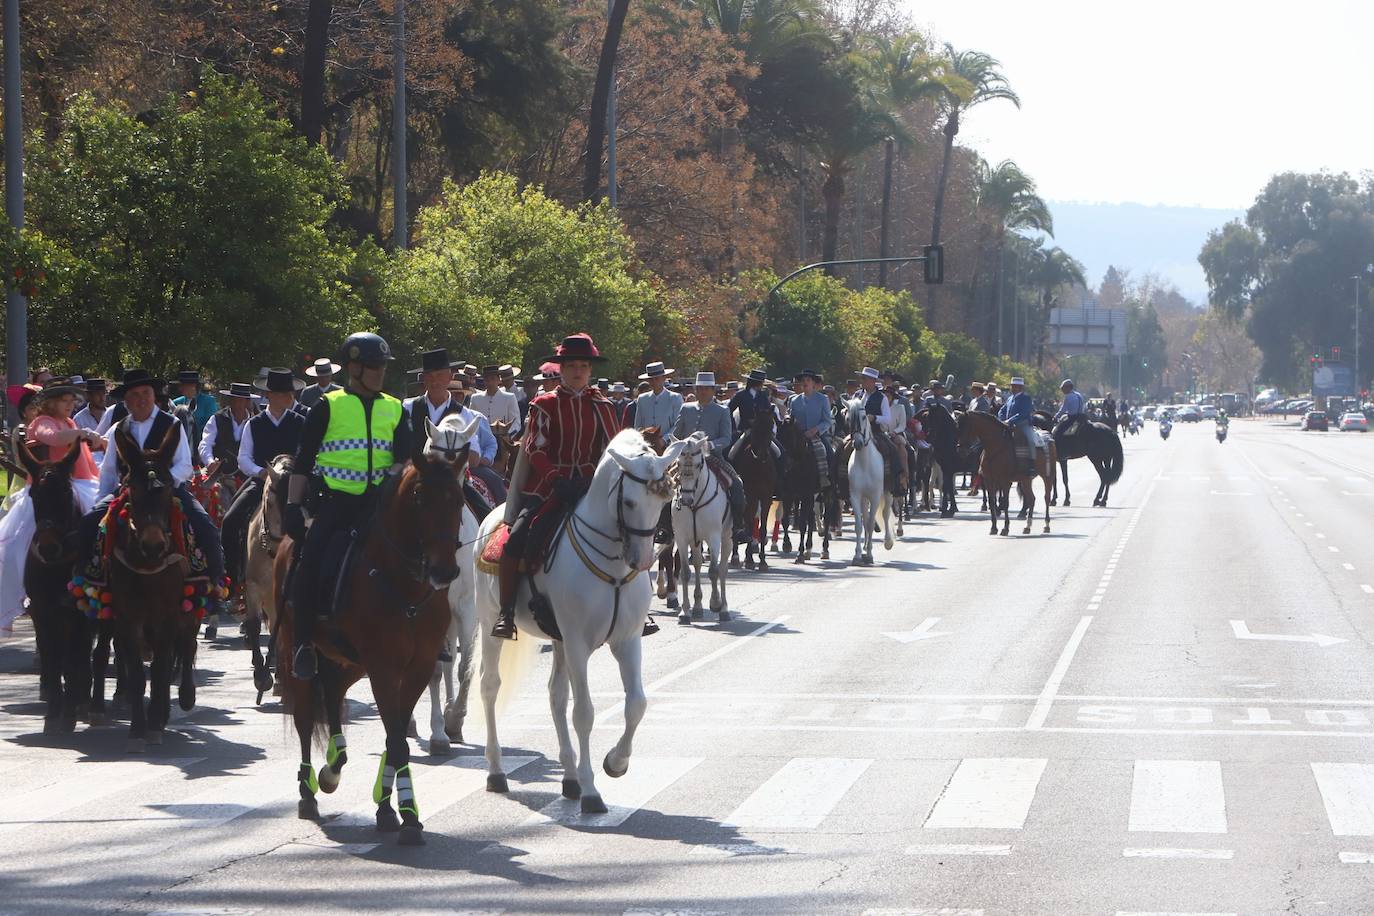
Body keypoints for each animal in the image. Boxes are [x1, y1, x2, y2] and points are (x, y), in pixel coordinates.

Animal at [105, 425, 196, 758]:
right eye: (132, 488)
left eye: (167, 487)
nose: (154, 545)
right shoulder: (126, 618)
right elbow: (135, 673)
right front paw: (137, 730)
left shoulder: (167, 616)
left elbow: (158, 669)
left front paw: (155, 725)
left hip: (190, 611)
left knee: (187, 647)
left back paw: (184, 698)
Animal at [478, 431, 687, 818]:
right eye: (630, 502)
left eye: (663, 500)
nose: (643, 560)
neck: (613, 565)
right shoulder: (577, 643)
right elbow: (585, 713)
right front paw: (592, 791)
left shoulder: (627, 641)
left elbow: (636, 704)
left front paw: (616, 763)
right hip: (488, 625)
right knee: (489, 687)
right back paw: (497, 771)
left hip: (558, 639)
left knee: (556, 695)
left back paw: (570, 778)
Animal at [667, 433, 730, 626]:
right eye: (678, 463)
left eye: (698, 464)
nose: (686, 499)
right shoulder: (681, 538)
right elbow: (685, 572)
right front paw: (685, 612)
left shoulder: (714, 537)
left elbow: (714, 571)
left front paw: (716, 603)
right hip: (695, 541)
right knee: (696, 564)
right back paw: (697, 608)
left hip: (727, 537)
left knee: (722, 569)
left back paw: (724, 609)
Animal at [846, 401, 890, 565]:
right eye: (848, 418)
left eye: (864, 416)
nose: (858, 443)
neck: (865, 462)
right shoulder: (855, 496)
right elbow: (860, 525)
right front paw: (858, 555)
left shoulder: (875, 496)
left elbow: (871, 524)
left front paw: (870, 554)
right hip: (864, 498)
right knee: (865, 518)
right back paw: (864, 548)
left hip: (888, 493)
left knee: (885, 514)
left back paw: (888, 542)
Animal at [961, 409, 1055, 538]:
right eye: (958, 426)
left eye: (966, 426)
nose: (960, 449)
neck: (995, 448)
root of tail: (1048, 437)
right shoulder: (989, 480)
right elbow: (992, 501)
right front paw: (993, 528)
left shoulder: (1004, 480)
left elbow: (1005, 502)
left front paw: (1005, 528)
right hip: (1026, 480)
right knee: (1031, 499)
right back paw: (1027, 526)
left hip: (1047, 476)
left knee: (1046, 497)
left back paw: (1046, 525)